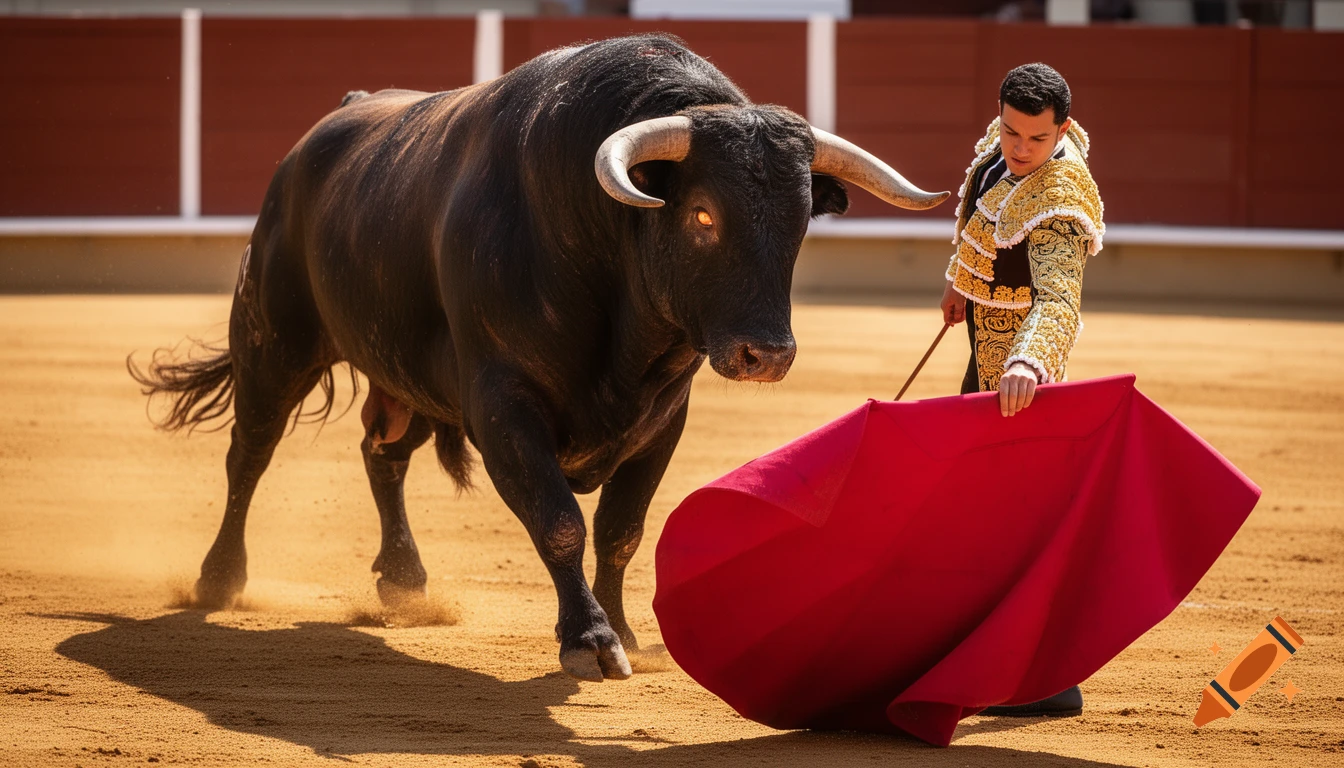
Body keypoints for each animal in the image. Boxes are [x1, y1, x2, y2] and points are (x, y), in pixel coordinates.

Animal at [130, 33, 947, 681]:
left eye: (803, 217)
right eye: (702, 215)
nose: (765, 354)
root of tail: (329, 127)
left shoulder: (664, 418)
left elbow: (621, 530)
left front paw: (626, 634)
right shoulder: (503, 403)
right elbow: (560, 521)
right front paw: (588, 641)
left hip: (410, 376)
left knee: (381, 452)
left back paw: (405, 581)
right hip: (276, 338)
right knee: (250, 452)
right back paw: (218, 580)